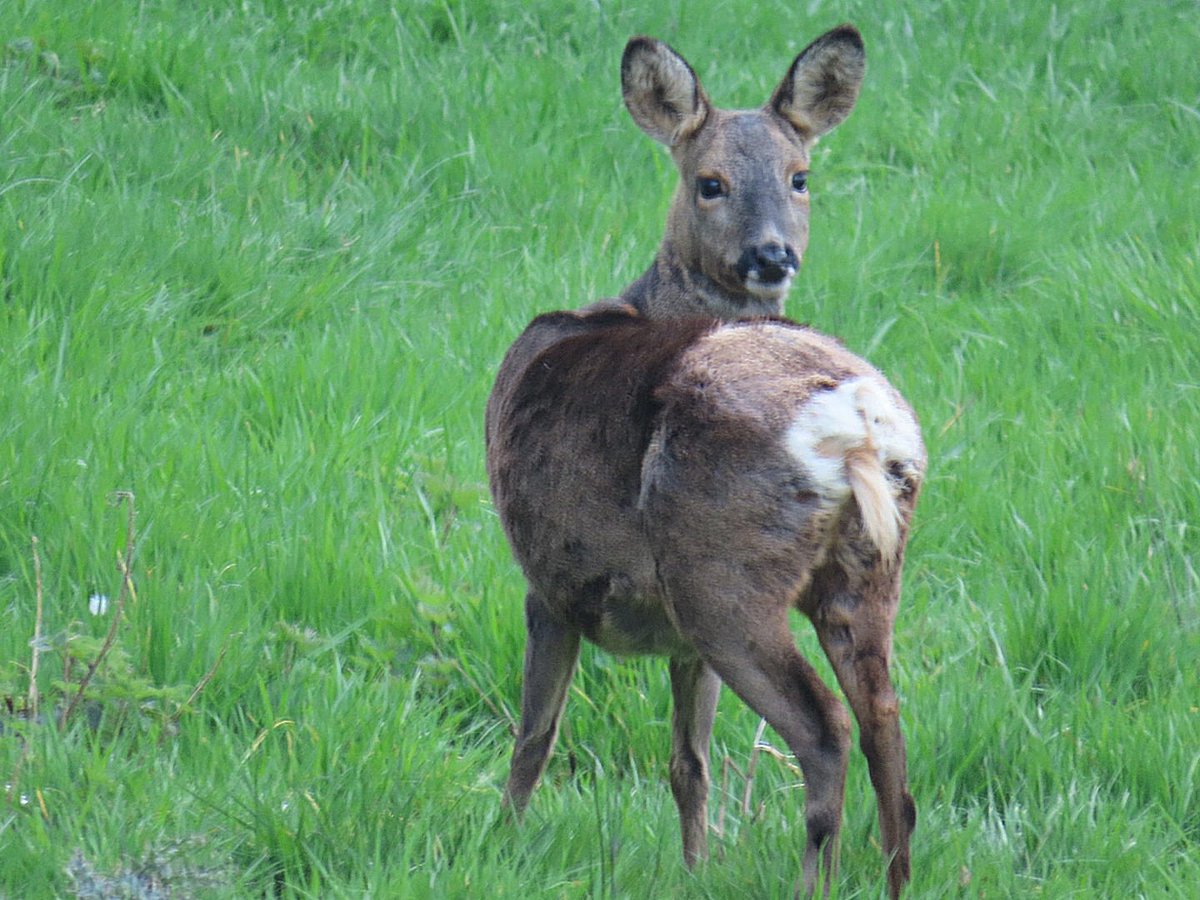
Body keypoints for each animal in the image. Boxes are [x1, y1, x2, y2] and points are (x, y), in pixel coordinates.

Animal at [485, 23, 924, 899]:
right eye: (710, 183)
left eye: (800, 176)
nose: (771, 255)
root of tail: (856, 424)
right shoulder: (680, 640)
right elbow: (688, 762)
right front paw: (695, 868)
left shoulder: (549, 578)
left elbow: (534, 736)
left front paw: (501, 844)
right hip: (861, 572)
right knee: (886, 730)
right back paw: (893, 880)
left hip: (724, 574)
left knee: (825, 729)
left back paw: (813, 878)